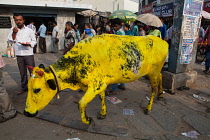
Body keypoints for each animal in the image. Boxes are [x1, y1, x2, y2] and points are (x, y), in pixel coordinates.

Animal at [23, 34, 167, 124]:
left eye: (36, 90)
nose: (26, 113)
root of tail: (162, 41)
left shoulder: (96, 85)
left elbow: (81, 103)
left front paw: (87, 120)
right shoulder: (100, 84)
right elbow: (101, 97)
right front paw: (103, 113)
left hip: (153, 72)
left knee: (153, 89)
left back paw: (149, 107)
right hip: (156, 72)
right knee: (161, 77)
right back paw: (161, 95)